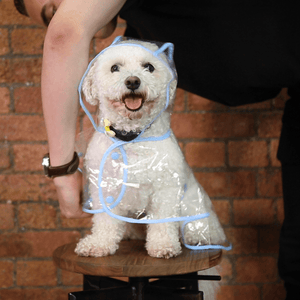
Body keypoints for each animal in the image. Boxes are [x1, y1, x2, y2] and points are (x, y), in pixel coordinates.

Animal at [75, 37, 227, 258]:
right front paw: (99, 243)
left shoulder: (165, 189)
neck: (132, 138)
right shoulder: (105, 188)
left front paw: (164, 245)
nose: (132, 81)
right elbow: (105, 222)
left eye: (149, 67)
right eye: (114, 68)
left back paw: (199, 238)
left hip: (194, 208)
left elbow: (163, 222)